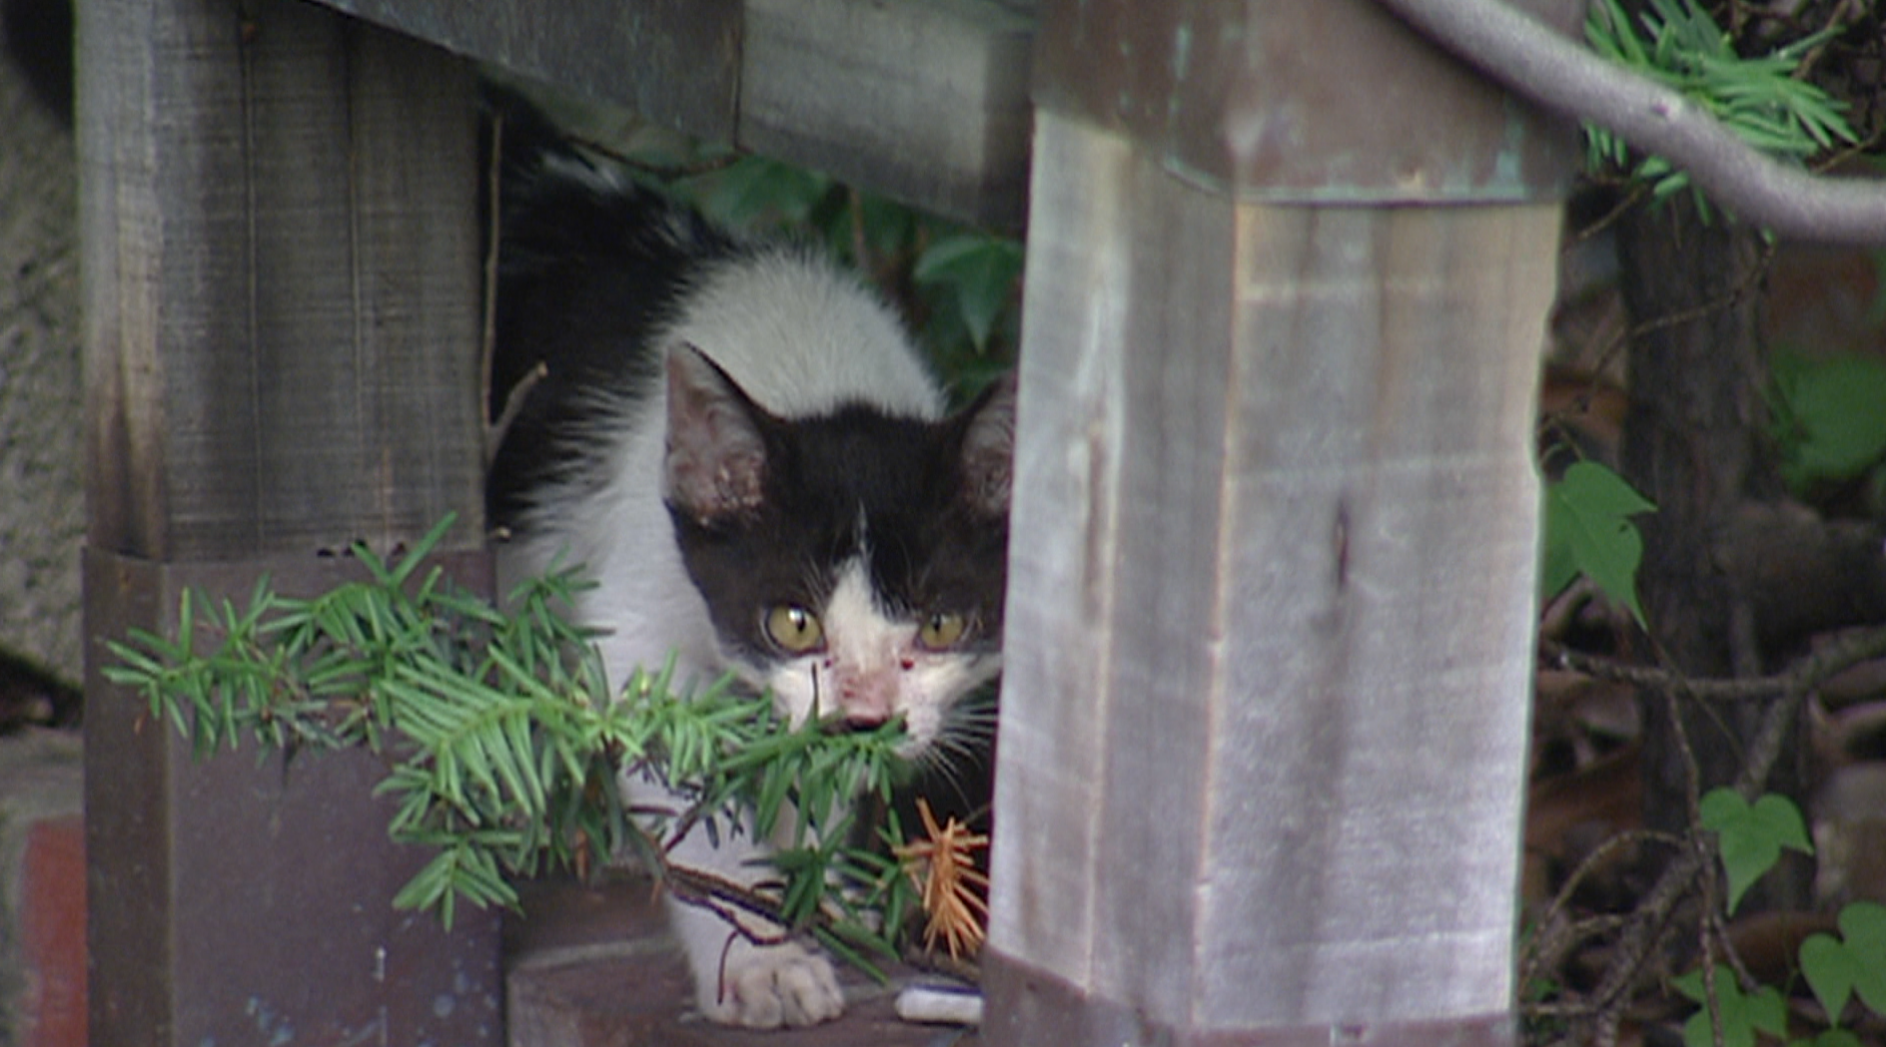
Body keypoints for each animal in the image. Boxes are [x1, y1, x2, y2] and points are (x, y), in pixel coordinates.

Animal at [486, 108, 1018, 1033]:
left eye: (942, 622)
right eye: (793, 621)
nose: (865, 719)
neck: (812, 363)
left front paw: (822, 889)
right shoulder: (632, 619)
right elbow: (688, 784)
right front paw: (761, 957)